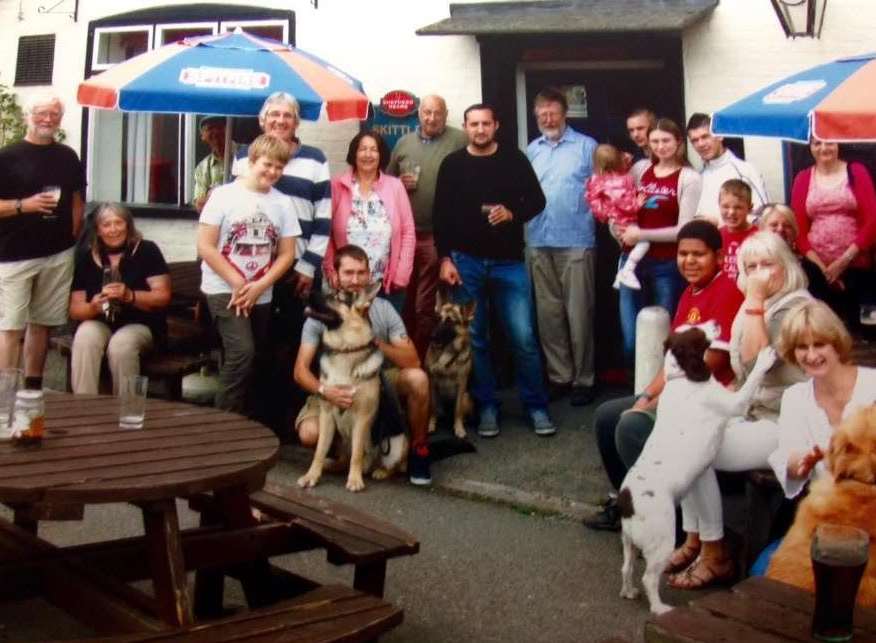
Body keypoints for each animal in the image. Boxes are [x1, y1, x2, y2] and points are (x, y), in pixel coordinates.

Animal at [426, 294, 476, 440]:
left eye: (449, 321)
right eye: (438, 318)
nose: (431, 337)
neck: (447, 351)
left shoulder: (461, 385)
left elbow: (457, 410)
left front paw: (459, 428)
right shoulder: (432, 383)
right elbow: (433, 408)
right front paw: (431, 425)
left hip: (466, 398)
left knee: (459, 413)